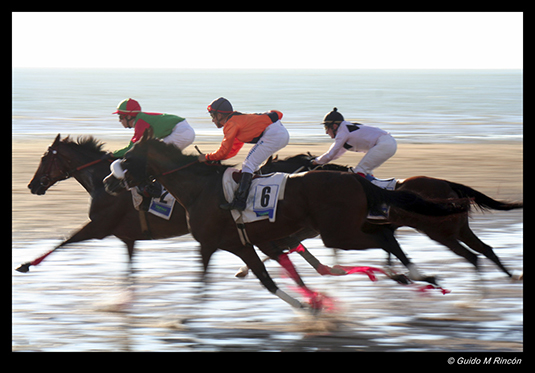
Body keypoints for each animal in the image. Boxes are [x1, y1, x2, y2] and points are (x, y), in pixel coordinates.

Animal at [105, 135, 468, 310]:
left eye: (128, 158)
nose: (108, 182)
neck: (198, 189)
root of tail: (354, 177)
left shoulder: (211, 244)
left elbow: (203, 283)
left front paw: (183, 320)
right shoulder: (243, 243)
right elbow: (269, 278)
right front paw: (312, 306)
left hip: (338, 232)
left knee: (384, 239)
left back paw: (416, 275)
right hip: (341, 230)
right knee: (386, 238)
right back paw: (417, 276)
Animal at [260, 153, 524, 278]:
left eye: (264, 168)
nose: (256, 175)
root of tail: (446, 183)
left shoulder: (319, 227)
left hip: (440, 232)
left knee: (472, 255)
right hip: (458, 228)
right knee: (485, 249)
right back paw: (509, 277)